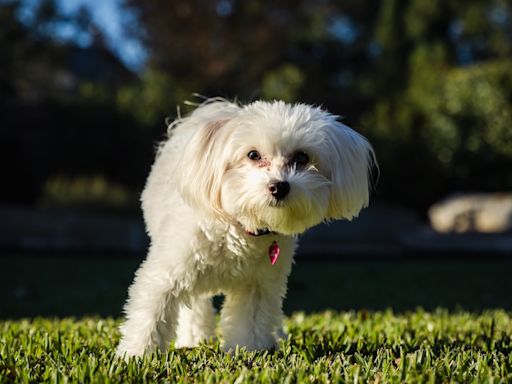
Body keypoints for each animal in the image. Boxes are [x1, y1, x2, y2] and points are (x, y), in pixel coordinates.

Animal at [116, 99, 374, 356]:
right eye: (253, 154)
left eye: (302, 158)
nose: (279, 187)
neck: (240, 226)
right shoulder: (167, 273)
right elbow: (151, 314)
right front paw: (138, 354)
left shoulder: (257, 286)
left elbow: (251, 321)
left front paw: (250, 350)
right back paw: (194, 339)